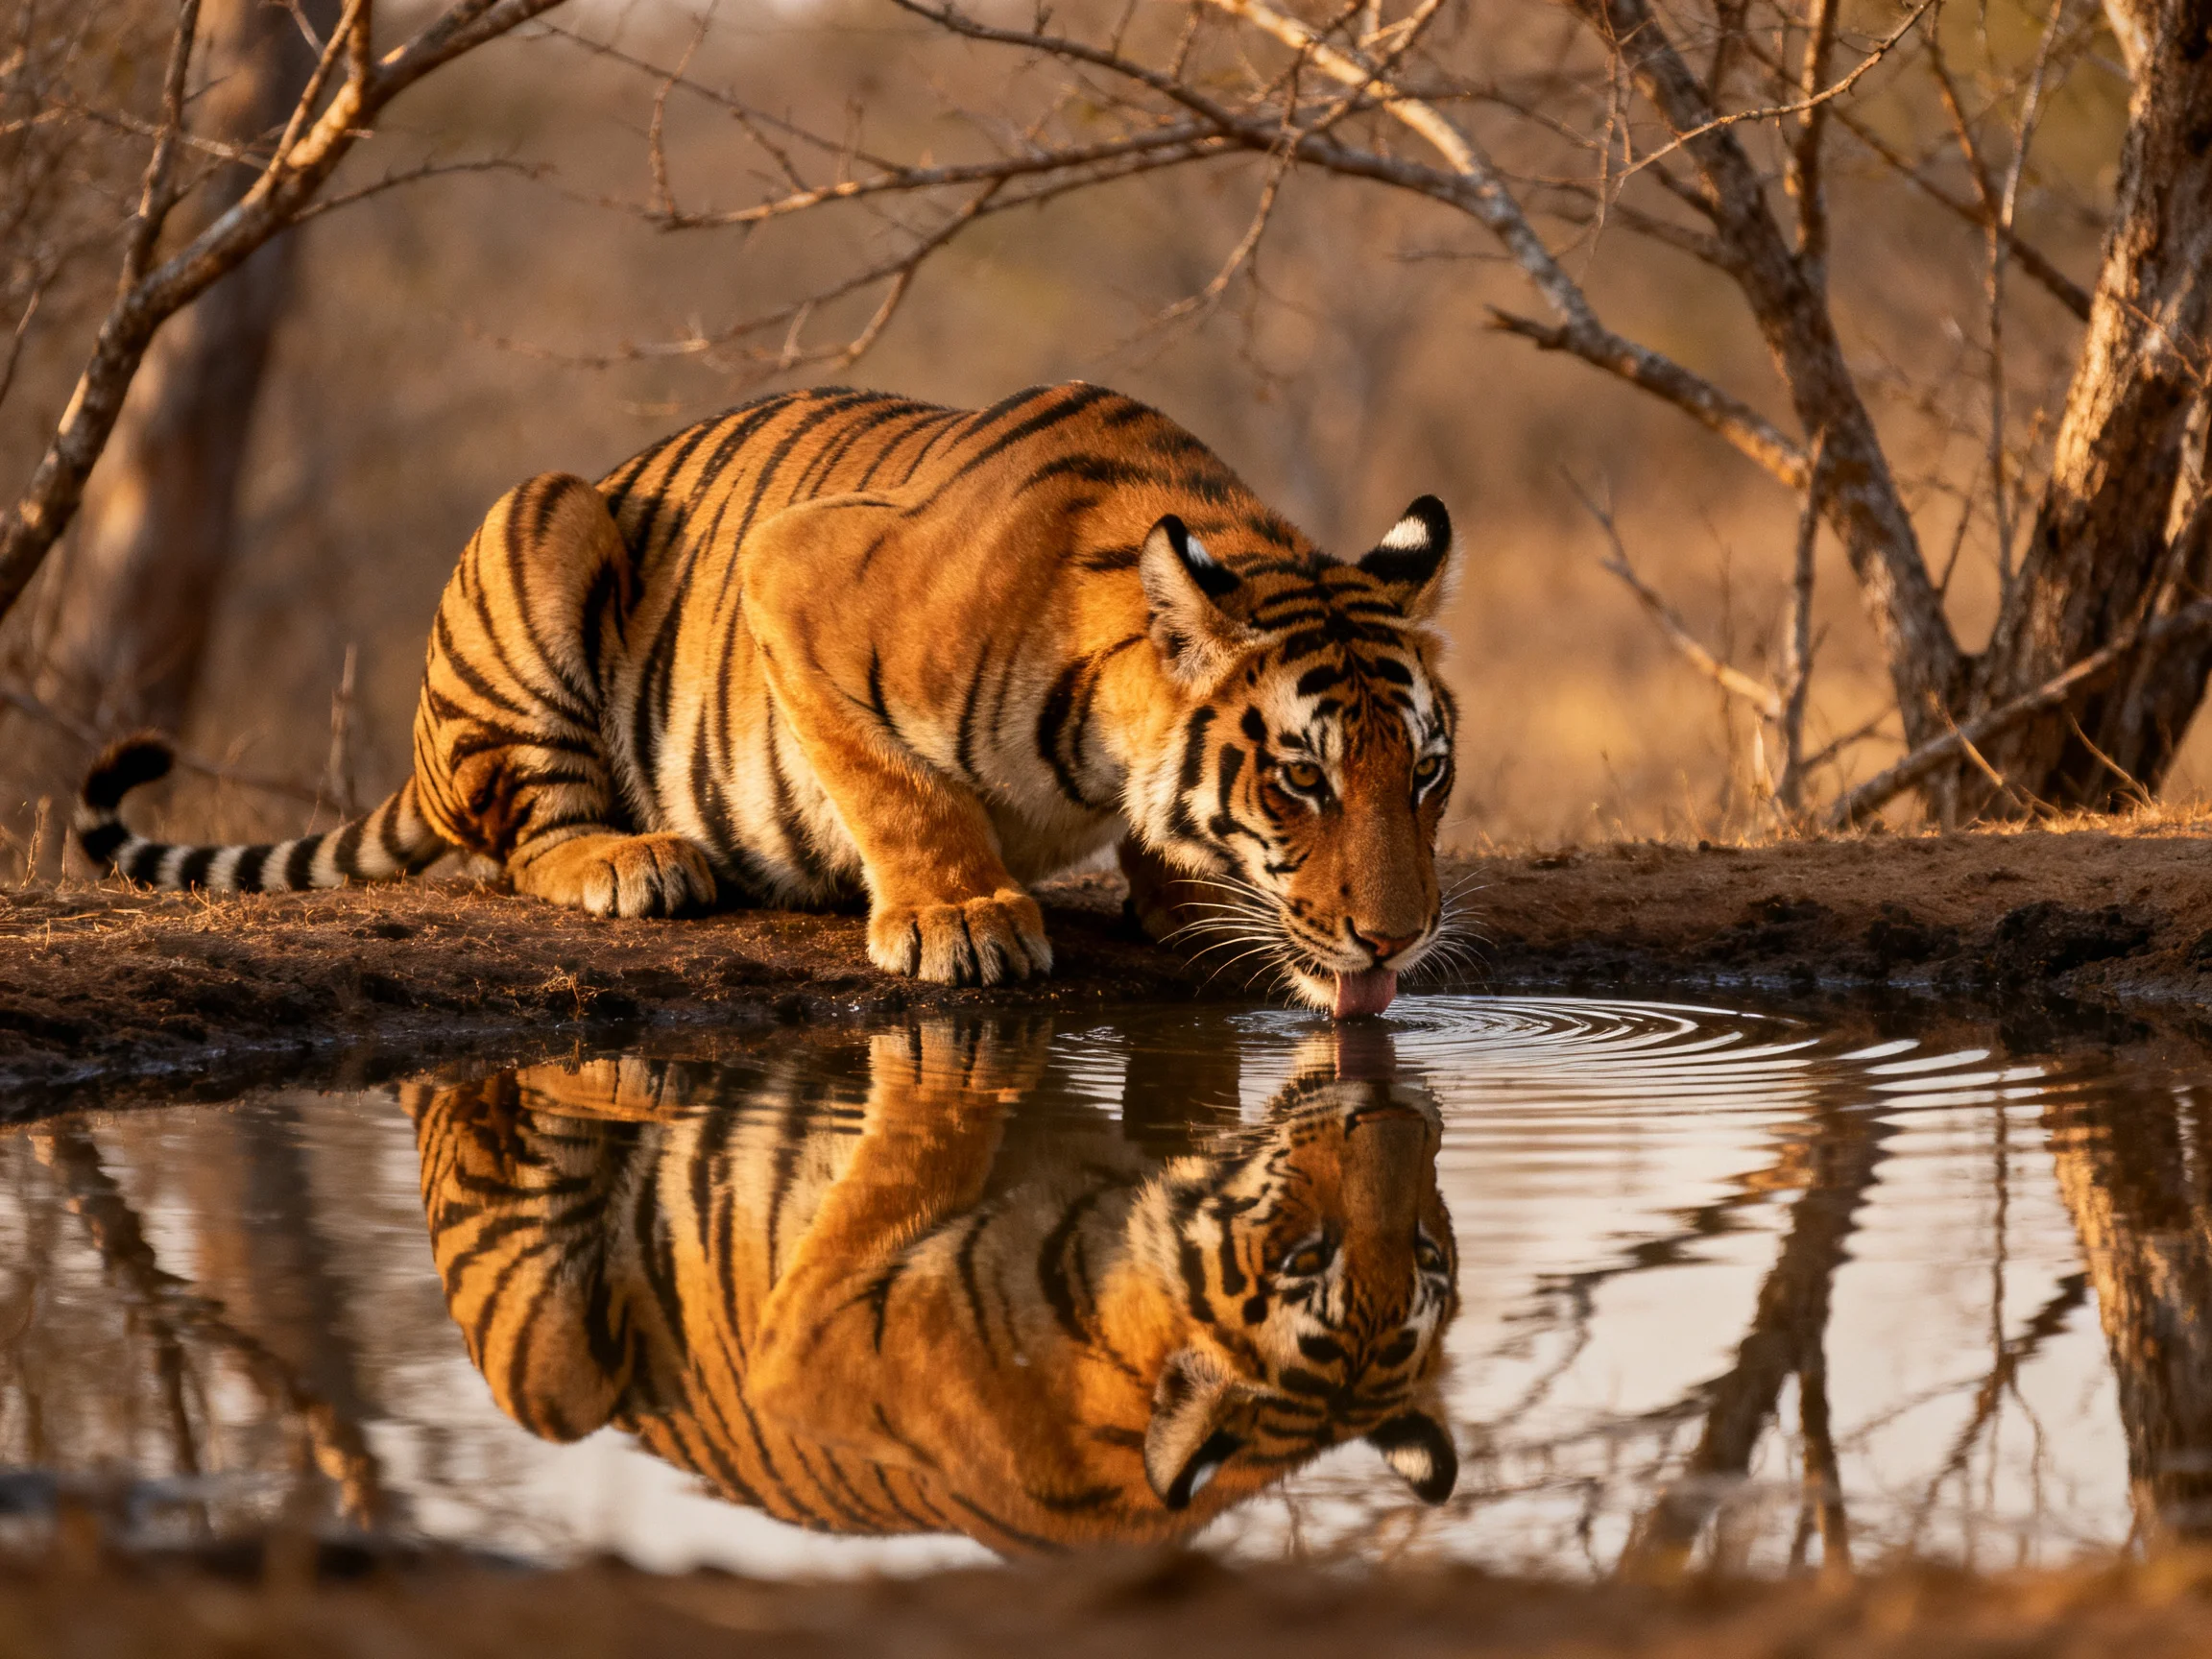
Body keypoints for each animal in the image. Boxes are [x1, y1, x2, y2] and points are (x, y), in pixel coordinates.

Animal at [76, 383, 1459, 1016]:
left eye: (1426, 774)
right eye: (1303, 779)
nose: (1400, 942)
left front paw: (1181, 896)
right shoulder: (792, 576)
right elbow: (899, 787)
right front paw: (960, 919)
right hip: (544, 515)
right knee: (526, 839)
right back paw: (637, 861)